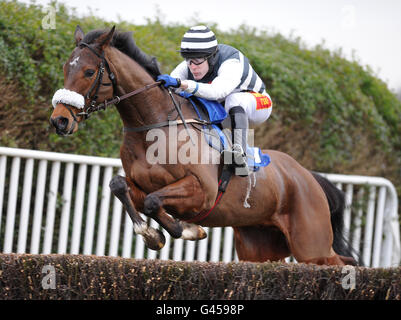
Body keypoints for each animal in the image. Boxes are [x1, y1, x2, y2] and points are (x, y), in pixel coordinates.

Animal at [48, 25, 358, 264]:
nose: (60, 120)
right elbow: (120, 186)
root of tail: (309, 178)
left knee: (340, 261)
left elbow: (153, 201)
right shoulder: (140, 184)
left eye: (89, 72)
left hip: (311, 245)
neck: (156, 126)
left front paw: (186, 230)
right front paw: (154, 235)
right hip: (260, 247)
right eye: (64, 67)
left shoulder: (202, 192)